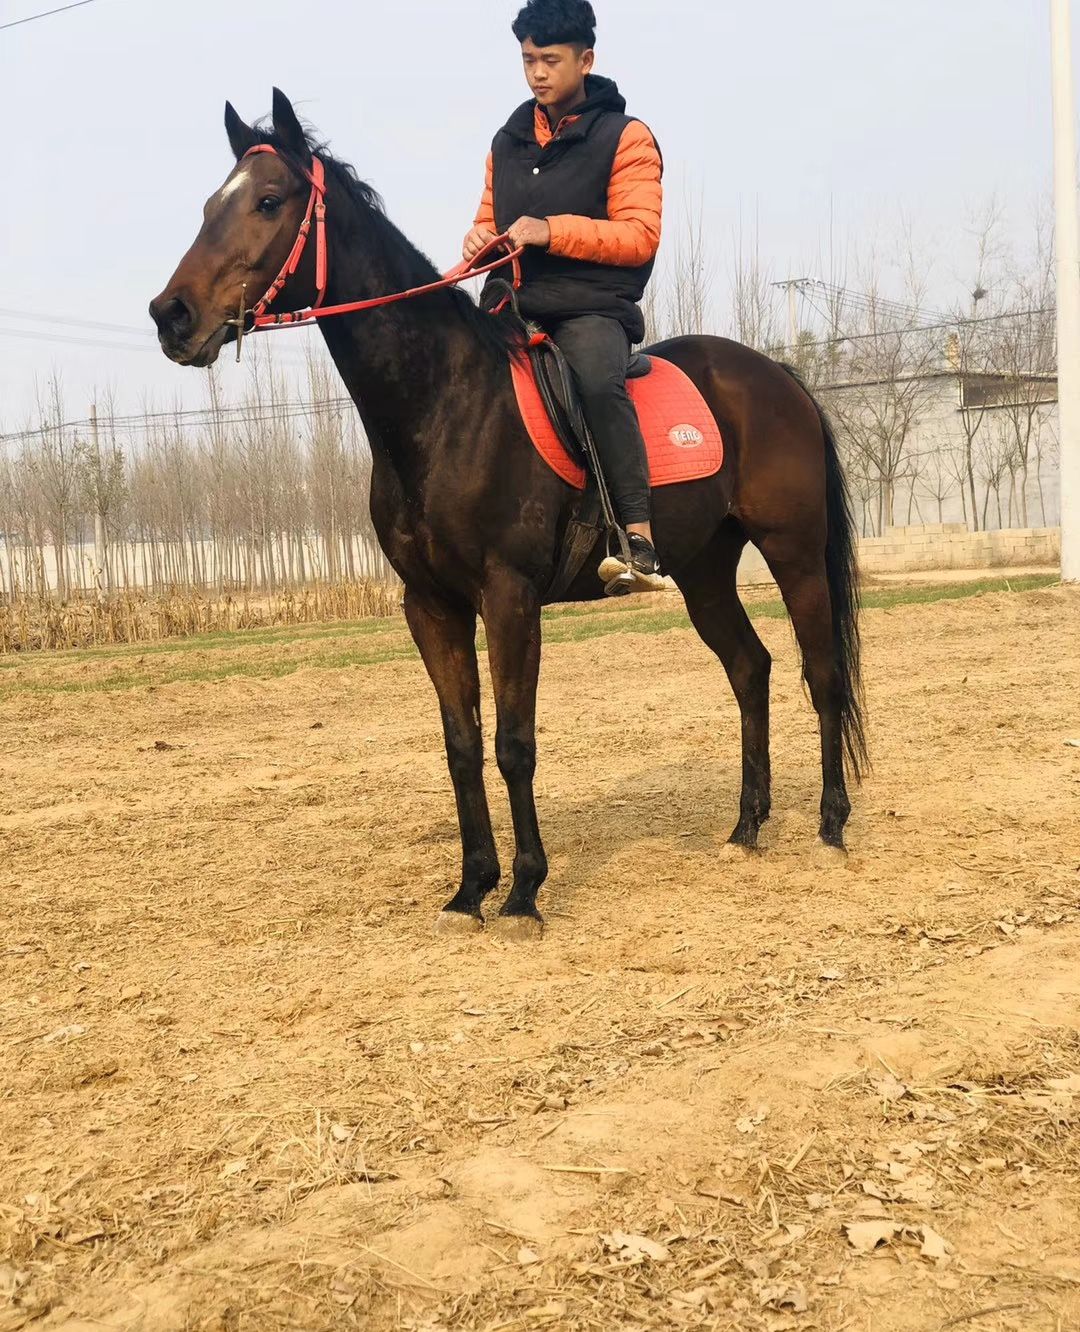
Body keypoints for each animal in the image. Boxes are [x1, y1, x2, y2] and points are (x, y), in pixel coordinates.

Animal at [150, 89, 867, 940]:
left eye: (268, 200)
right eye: (208, 206)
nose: (171, 315)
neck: (446, 404)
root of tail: (778, 376)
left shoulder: (510, 595)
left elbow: (513, 743)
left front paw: (524, 892)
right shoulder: (430, 605)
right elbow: (461, 744)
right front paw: (470, 890)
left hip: (793, 551)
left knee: (822, 674)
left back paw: (830, 826)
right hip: (703, 571)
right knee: (750, 670)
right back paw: (746, 827)